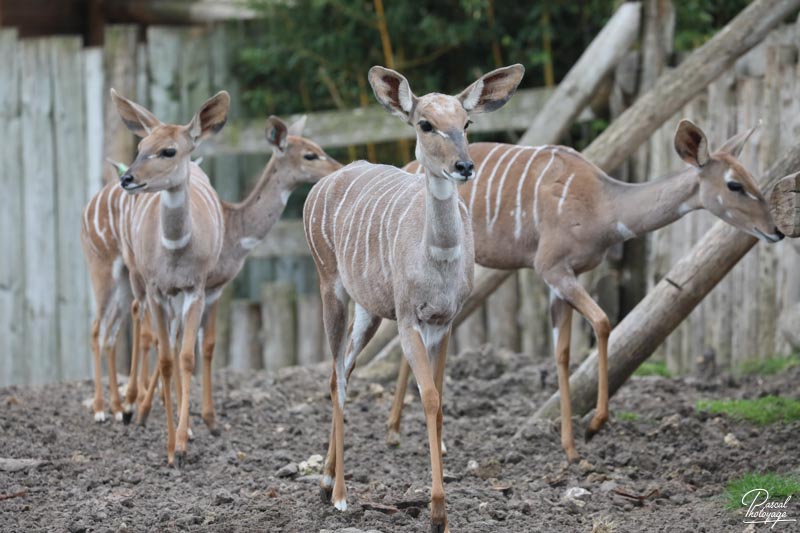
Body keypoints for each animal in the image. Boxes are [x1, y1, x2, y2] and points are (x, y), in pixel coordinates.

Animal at [82, 115, 340, 432]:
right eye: (310, 154)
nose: (338, 168)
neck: (236, 231)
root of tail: (91, 203)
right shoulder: (206, 288)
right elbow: (193, 344)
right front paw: (182, 416)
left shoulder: (201, 288)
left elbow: (194, 343)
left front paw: (193, 416)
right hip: (108, 268)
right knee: (101, 328)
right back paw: (106, 408)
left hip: (125, 280)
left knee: (117, 328)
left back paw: (121, 407)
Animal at [85, 88, 228, 466]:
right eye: (141, 145)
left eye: (169, 150)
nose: (128, 179)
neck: (176, 250)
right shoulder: (156, 291)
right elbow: (164, 359)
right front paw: (169, 448)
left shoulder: (194, 290)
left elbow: (186, 357)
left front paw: (182, 444)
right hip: (114, 276)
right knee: (103, 328)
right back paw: (109, 408)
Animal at [304, 63, 520, 532]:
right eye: (425, 124)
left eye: (466, 122)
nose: (464, 166)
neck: (436, 259)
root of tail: (320, 187)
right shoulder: (408, 319)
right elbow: (428, 396)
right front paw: (437, 512)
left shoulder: (445, 321)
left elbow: (439, 398)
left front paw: (443, 511)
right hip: (331, 285)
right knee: (335, 376)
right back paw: (340, 495)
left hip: (368, 310)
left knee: (345, 367)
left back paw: (326, 481)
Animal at [390, 120, 784, 462]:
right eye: (735, 185)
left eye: (752, 177)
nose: (776, 231)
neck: (604, 205)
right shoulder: (552, 269)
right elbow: (603, 322)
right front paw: (594, 425)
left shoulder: (565, 279)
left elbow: (563, 353)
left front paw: (570, 448)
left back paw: (395, 429)